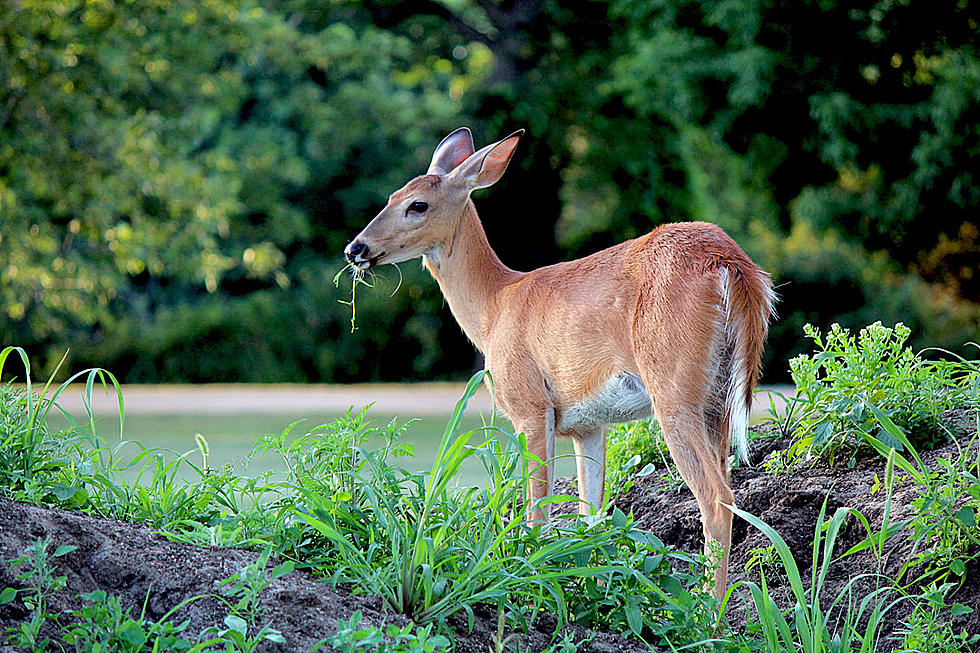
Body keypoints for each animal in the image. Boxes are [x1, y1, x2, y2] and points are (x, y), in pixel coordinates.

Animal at [344, 127, 772, 596]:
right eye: (391, 195)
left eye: (417, 205)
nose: (355, 248)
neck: (494, 307)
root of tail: (732, 264)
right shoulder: (590, 425)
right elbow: (592, 516)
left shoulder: (530, 405)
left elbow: (538, 512)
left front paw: (529, 576)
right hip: (718, 394)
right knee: (727, 486)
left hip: (674, 385)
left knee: (716, 497)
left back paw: (708, 609)